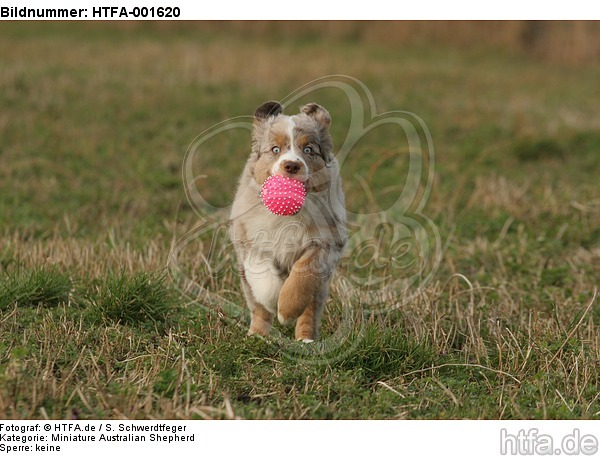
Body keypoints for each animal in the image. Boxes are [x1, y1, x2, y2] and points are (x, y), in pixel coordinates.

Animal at [230, 100, 346, 342]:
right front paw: (274, 301)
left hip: (319, 288)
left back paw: (305, 339)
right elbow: (263, 277)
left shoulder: (327, 240)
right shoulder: (250, 238)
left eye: (308, 149)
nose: (292, 165)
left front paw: (285, 310)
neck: (288, 217)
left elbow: (303, 273)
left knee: (310, 309)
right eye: (275, 150)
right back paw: (257, 335)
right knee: (257, 309)